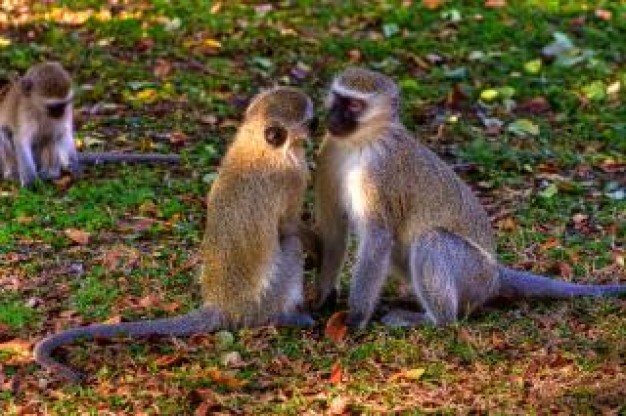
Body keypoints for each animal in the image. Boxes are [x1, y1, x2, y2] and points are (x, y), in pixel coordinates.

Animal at [0, 61, 179, 187]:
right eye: (53, 107)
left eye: (64, 104)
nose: (59, 115)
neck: (39, 110)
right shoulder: (25, 114)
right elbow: (21, 141)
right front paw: (30, 182)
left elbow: (63, 134)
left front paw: (75, 167)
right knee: (5, 133)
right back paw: (13, 174)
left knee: (51, 136)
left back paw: (51, 173)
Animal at [34, 88, 314, 384]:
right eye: (311, 122)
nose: (316, 129)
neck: (257, 144)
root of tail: (221, 304)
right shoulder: (293, 176)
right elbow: (289, 227)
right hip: (260, 304)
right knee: (292, 246)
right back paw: (285, 316)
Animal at [314, 67, 624, 328]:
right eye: (337, 99)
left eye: (354, 106)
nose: (333, 117)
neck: (362, 142)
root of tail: (495, 275)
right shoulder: (329, 150)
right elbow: (334, 226)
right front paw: (323, 297)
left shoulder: (379, 172)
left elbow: (377, 237)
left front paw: (354, 320)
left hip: (473, 274)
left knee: (432, 241)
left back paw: (435, 320)